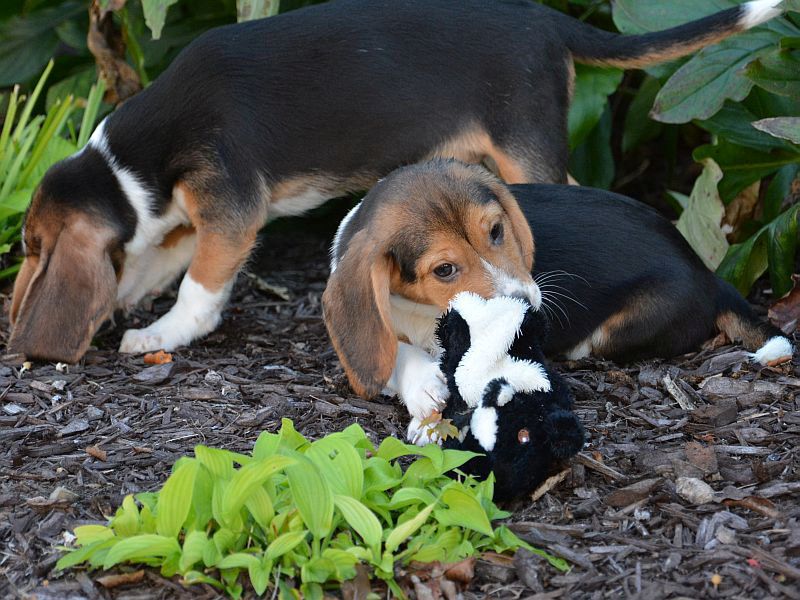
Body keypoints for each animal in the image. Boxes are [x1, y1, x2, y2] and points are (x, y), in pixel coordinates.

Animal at [7, 0, 780, 360]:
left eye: (30, 247)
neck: (134, 163)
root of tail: (548, 19)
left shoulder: (230, 210)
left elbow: (199, 285)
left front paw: (164, 332)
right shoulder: (182, 217)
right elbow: (156, 260)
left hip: (523, 145)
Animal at [324, 162, 792, 438]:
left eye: (497, 231)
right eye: (444, 271)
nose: (527, 309)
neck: (422, 313)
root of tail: (707, 273)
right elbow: (393, 352)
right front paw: (423, 387)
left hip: (622, 326)